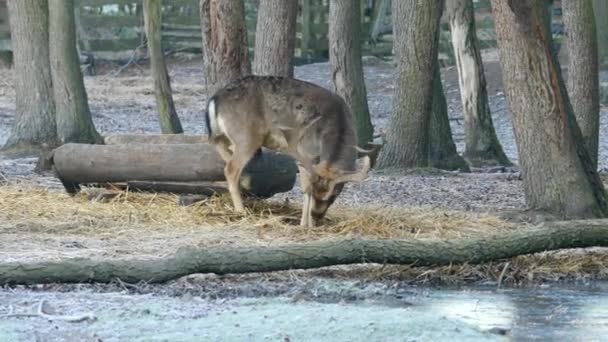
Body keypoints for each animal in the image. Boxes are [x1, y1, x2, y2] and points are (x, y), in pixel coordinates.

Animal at [205, 75, 370, 227]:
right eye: (318, 193)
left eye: (333, 196)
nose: (316, 216)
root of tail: (215, 99)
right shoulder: (305, 152)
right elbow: (306, 187)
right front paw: (305, 224)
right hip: (246, 137)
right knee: (231, 169)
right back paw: (241, 211)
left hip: (222, 136)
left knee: (226, 157)